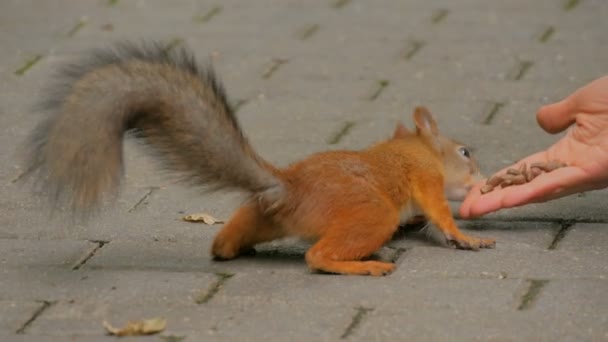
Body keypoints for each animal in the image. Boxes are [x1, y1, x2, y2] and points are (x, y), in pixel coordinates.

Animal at [23, 41, 496, 276]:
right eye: (465, 153)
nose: (481, 178)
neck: (414, 148)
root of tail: (288, 188)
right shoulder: (425, 179)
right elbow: (439, 211)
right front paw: (465, 237)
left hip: (261, 215)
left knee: (229, 238)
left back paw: (227, 249)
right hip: (370, 212)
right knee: (317, 257)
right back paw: (367, 266)